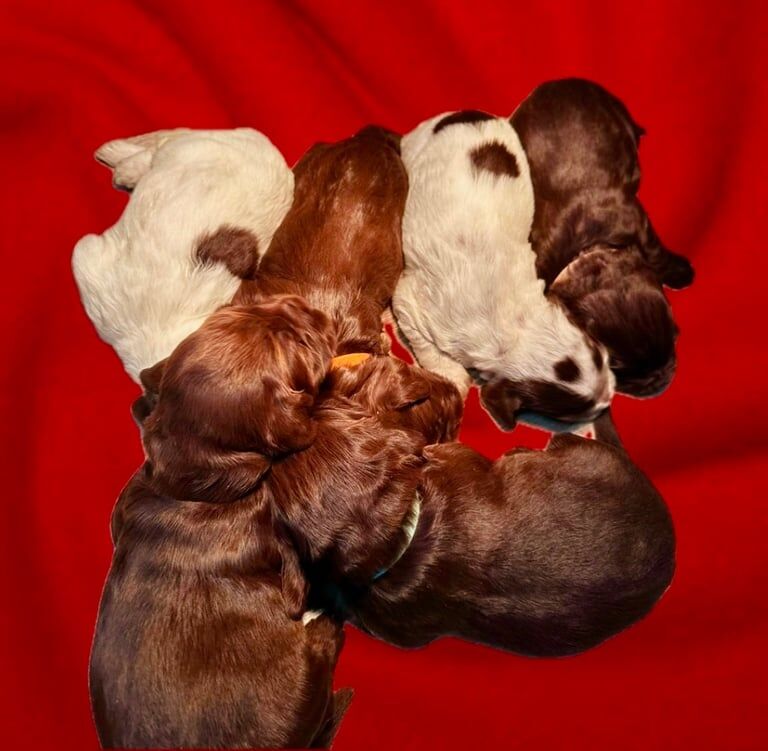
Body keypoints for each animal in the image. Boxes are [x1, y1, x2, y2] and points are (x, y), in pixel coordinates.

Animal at [392, 108, 616, 432]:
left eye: (599, 356)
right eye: (573, 413)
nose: (611, 394)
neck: (520, 327)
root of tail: (470, 114)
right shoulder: (412, 304)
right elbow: (427, 346)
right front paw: (454, 375)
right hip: (414, 147)